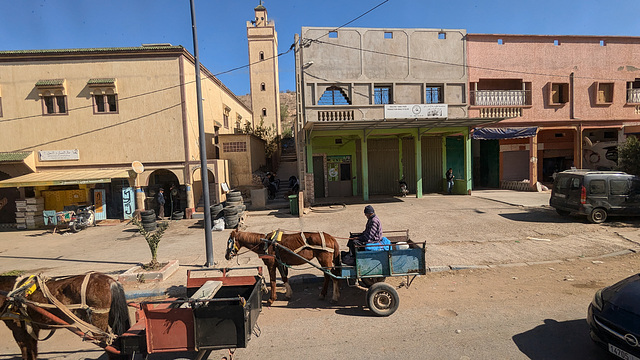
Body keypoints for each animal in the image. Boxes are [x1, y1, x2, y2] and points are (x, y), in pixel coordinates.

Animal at [0, 272, 131, 360]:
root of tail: (110, 281)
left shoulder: (18, 330)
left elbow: (26, 353)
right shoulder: (31, 330)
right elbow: (32, 352)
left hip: (97, 322)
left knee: (110, 347)